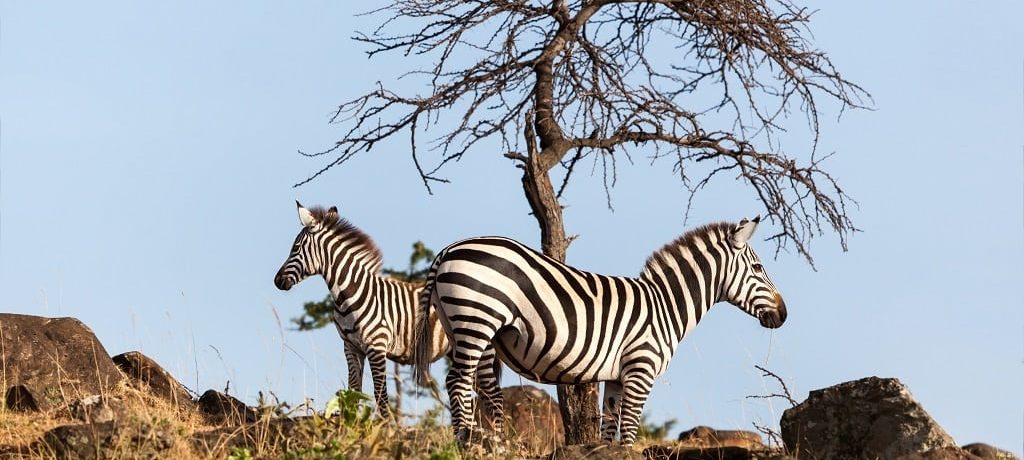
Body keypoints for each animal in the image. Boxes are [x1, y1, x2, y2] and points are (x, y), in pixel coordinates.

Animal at [272, 202, 448, 417]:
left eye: (295, 248)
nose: (277, 281)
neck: (349, 294)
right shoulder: (351, 347)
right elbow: (353, 391)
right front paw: (352, 423)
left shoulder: (376, 346)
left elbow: (380, 395)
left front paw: (387, 425)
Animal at [411, 216, 786, 444]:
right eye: (758, 268)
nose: (783, 314)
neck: (665, 305)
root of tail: (448, 250)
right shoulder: (641, 368)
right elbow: (630, 430)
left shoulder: (616, 377)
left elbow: (609, 429)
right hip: (476, 318)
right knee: (458, 383)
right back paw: (467, 442)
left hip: (464, 326)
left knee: (478, 388)